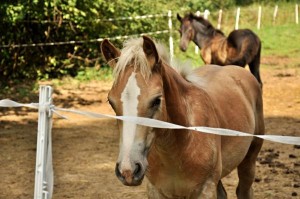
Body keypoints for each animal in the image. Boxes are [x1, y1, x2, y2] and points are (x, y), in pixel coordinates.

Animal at [101, 36, 264, 199]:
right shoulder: (156, 191)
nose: (127, 171)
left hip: (249, 160)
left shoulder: (205, 190)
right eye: (111, 101)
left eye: (156, 100)